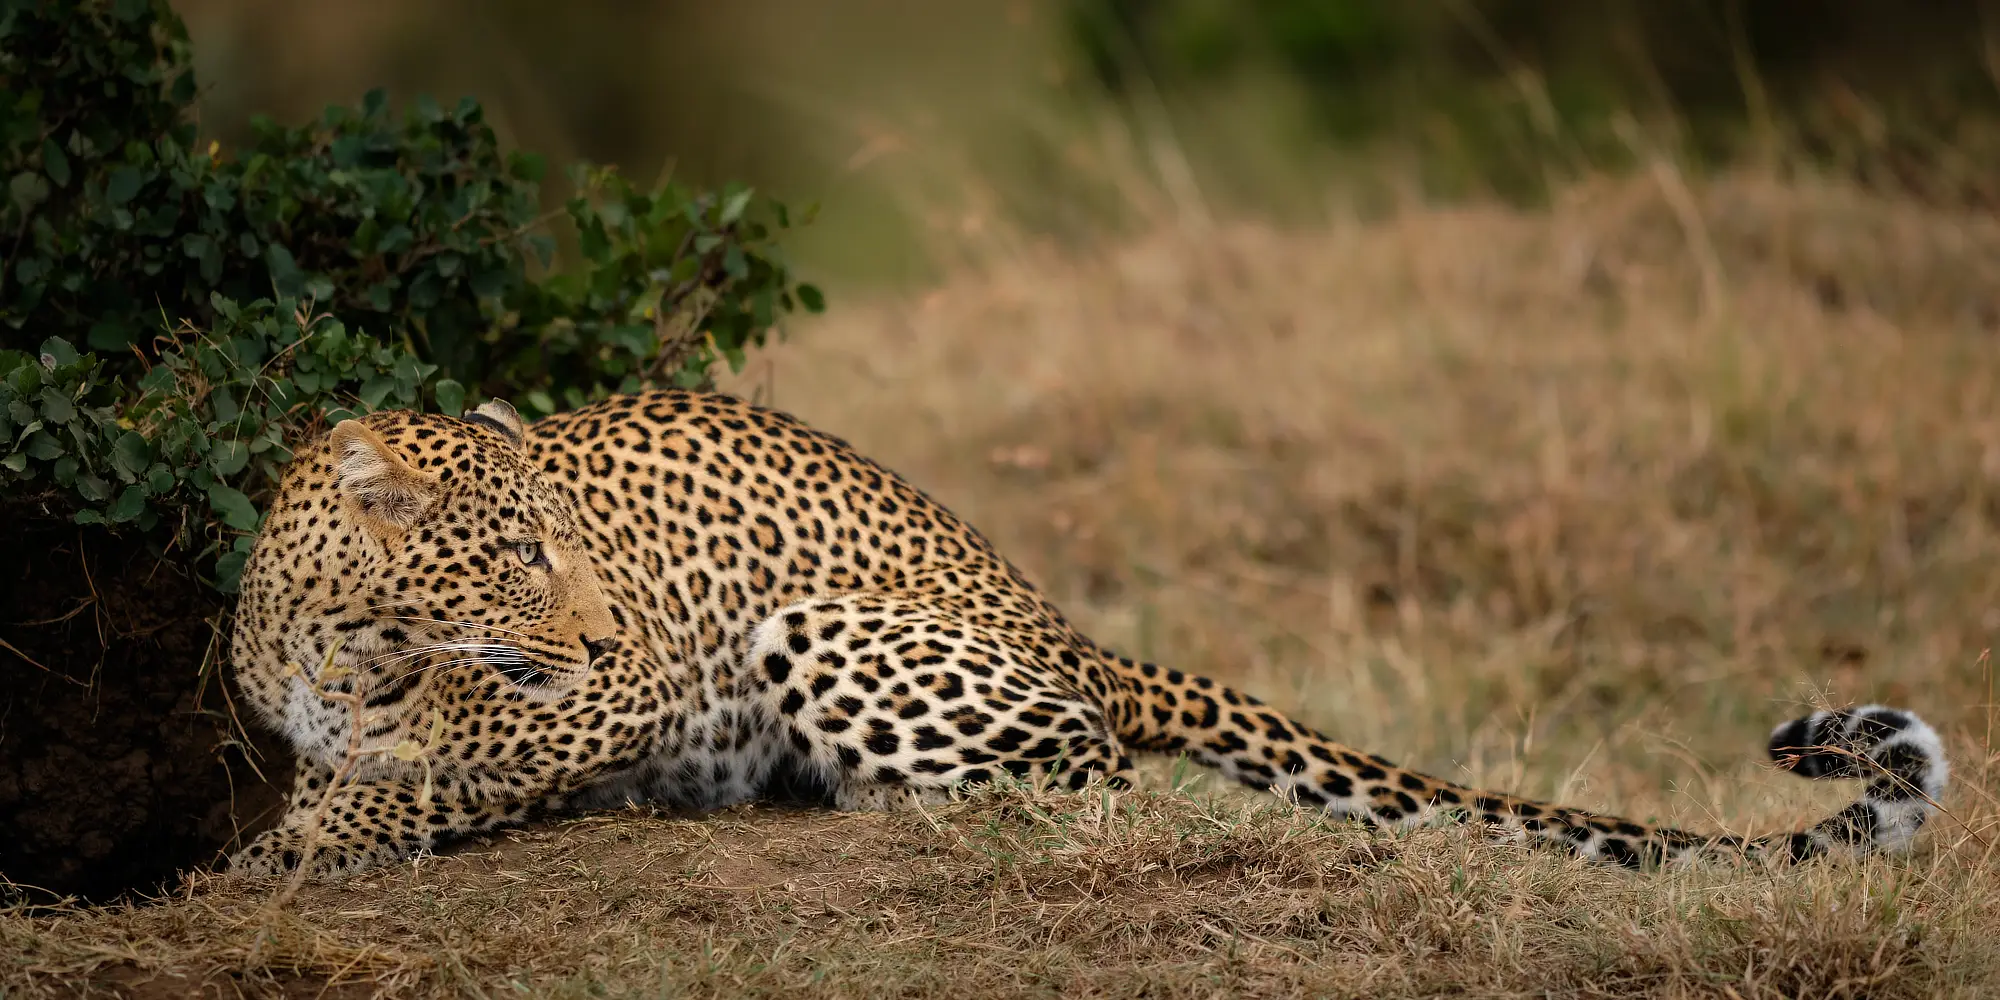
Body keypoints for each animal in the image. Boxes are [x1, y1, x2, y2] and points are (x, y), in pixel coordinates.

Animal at [225, 389, 1950, 880]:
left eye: (580, 552)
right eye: (518, 551)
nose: (589, 622)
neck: (347, 640)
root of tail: (1067, 625)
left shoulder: (634, 687)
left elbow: (461, 757)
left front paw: (309, 842)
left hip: (821, 626)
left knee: (1094, 781)